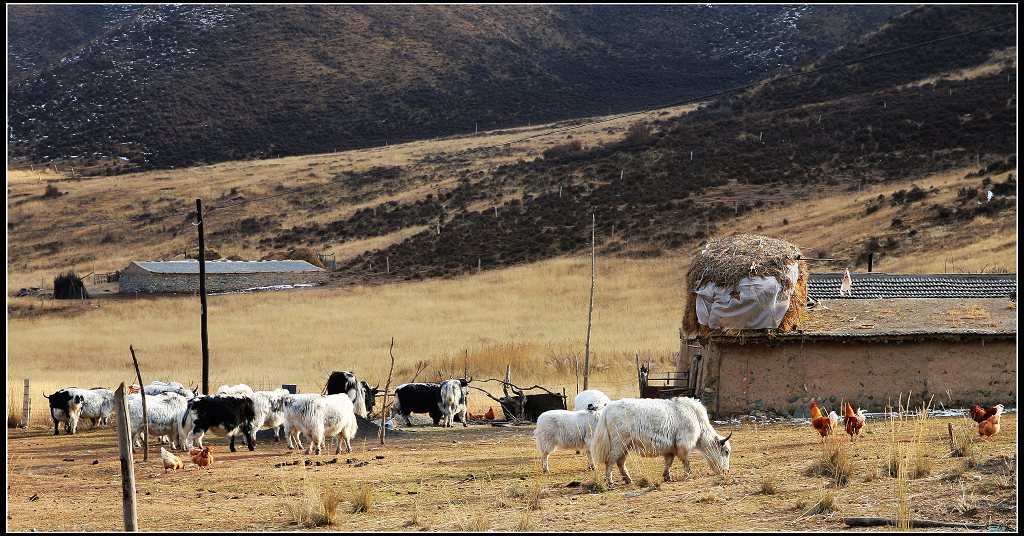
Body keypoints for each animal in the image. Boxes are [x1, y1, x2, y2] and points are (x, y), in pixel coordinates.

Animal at [589, 395, 733, 487]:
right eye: (726, 452)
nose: (726, 471)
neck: (698, 420)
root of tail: (608, 408)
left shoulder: (670, 448)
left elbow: (669, 461)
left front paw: (667, 476)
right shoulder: (684, 444)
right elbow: (686, 460)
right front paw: (689, 474)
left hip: (626, 445)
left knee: (620, 462)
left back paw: (628, 480)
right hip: (619, 443)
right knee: (611, 460)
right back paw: (609, 481)